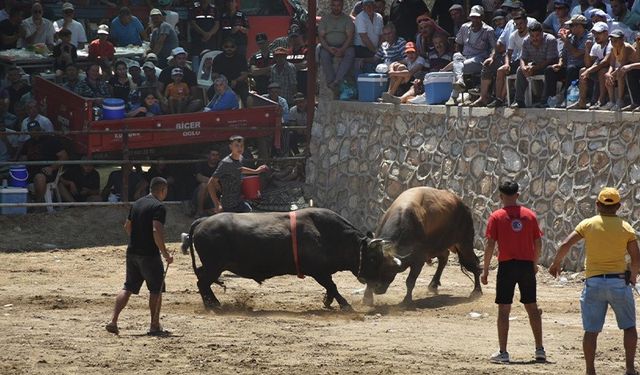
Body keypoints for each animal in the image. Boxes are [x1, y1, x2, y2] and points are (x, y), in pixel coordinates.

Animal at [181, 209, 400, 312]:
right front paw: (345, 305)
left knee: (202, 282)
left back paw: (213, 303)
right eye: (373, 257)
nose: (379, 285)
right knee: (202, 283)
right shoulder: (318, 271)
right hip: (214, 266)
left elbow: (331, 287)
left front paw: (327, 301)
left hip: (213, 266)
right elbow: (333, 286)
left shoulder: (323, 272)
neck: (326, 233)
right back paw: (213, 305)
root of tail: (203, 221)